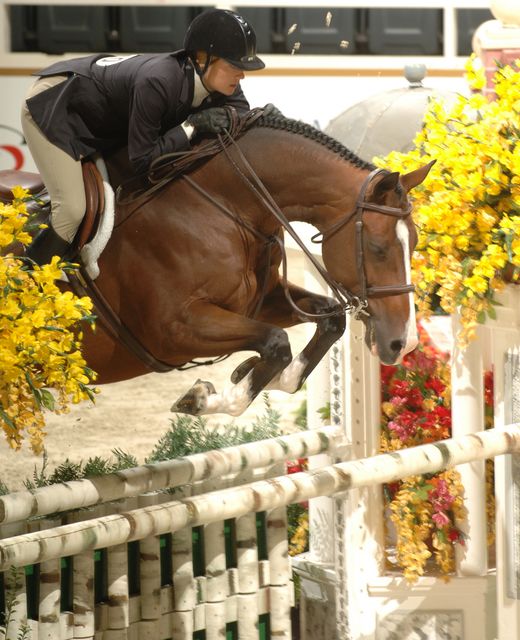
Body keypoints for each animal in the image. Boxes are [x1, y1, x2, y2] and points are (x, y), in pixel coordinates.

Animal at [4, 112, 434, 418]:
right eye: (377, 248)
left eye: (413, 243)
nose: (405, 343)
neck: (226, 203)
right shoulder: (172, 330)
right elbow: (275, 343)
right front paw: (202, 397)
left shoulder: (259, 301)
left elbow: (328, 321)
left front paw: (253, 373)